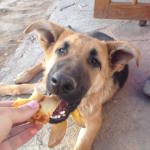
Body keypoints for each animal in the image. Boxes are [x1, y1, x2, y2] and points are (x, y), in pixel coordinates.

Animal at [0, 20, 141, 150]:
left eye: (94, 61)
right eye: (61, 50)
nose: (60, 83)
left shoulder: (93, 122)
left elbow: (82, 145)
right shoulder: (44, 85)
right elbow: (17, 88)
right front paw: (3, 88)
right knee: (42, 62)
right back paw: (24, 75)